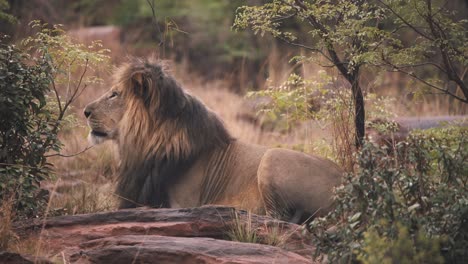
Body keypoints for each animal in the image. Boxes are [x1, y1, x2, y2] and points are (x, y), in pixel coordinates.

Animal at [82, 57, 342, 223]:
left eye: (114, 94)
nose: (85, 111)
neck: (145, 145)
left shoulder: (181, 205)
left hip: (272, 156)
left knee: (280, 220)